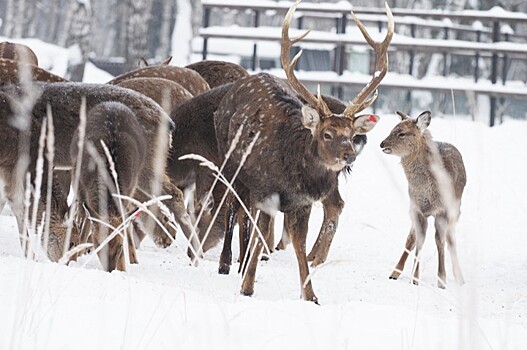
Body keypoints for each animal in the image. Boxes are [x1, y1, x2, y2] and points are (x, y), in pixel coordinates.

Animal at [213, 0, 392, 302]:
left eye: (351, 135)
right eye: (327, 133)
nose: (349, 156)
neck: (294, 176)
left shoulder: (303, 202)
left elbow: (299, 244)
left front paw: (310, 295)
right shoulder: (266, 190)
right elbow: (261, 233)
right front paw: (247, 287)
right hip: (229, 162)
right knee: (231, 205)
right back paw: (226, 263)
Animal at [380, 110, 466, 288]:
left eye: (402, 133)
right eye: (393, 129)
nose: (382, 143)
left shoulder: (443, 211)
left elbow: (440, 241)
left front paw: (441, 280)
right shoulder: (417, 209)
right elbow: (418, 240)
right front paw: (415, 279)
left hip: (456, 209)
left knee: (450, 239)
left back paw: (460, 277)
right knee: (411, 239)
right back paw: (395, 272)